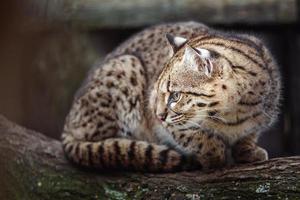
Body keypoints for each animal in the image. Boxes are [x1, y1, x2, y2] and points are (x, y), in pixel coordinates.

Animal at [61, 21, 282, 172]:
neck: (232, 114)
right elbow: (199, 139)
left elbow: (249, 135)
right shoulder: (173, 126)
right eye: (156, 94)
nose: (157, 115)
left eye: (175, 96)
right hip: (127, 66)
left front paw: (248, 151)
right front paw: (215, 156)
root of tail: (68, 120)